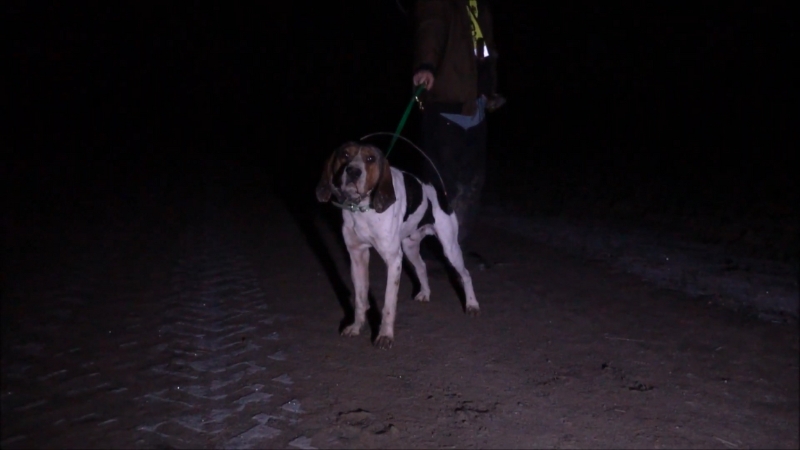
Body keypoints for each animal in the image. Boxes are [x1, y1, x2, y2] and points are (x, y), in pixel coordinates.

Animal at [316, 142, 478, 350]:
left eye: (370, 158)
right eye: (345, 154)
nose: (353, 171)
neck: (362, 210)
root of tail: (439, 191)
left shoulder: (393, 260)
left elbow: (388, 304)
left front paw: (385, 336)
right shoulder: (357, 255)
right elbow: (360, 298)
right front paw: (356, 327)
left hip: (450, 248)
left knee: (465, 274)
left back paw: (472, 304)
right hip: (410, 247)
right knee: (422, 267)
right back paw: (425, 293)